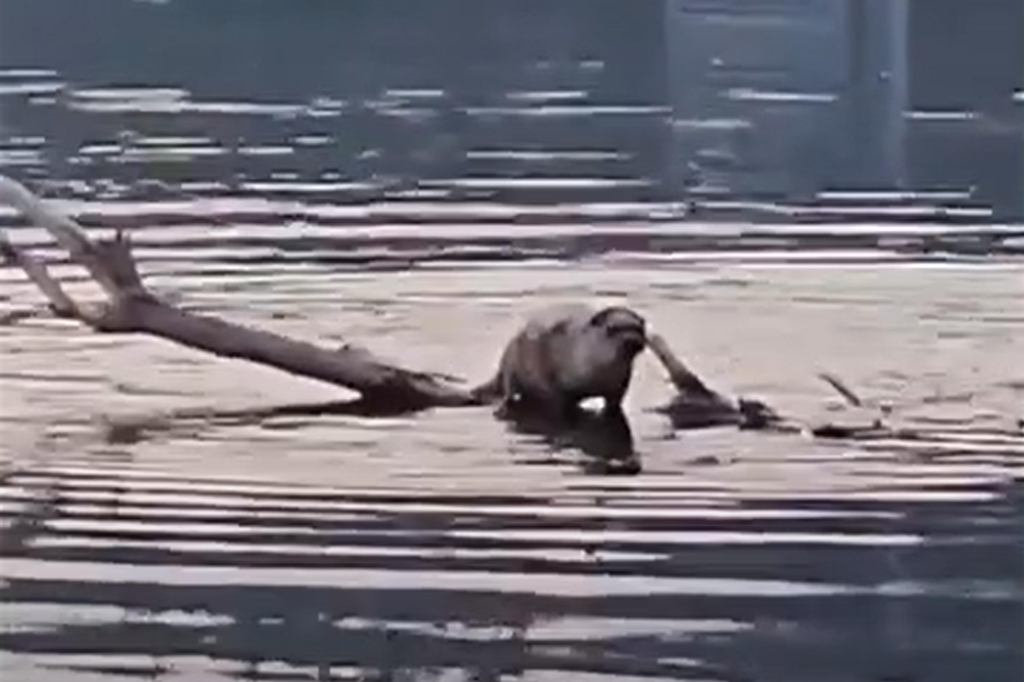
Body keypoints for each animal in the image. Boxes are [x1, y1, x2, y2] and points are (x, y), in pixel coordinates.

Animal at [473, 301, 647, 417]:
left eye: (639, 328)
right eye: (611, 328)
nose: (632, 340)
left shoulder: (620, 385)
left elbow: (614, 404)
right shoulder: (549, 375)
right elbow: (556, 396)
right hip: (510, 359)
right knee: (508, 388)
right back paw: (503, 406)